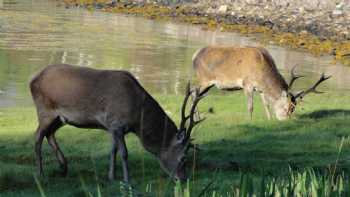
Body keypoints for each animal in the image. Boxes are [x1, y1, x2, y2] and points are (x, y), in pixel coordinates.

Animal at [29, 63, 211, 182]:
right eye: (183, 158)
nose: (184, 179)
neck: (138, 116)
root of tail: (32, 80)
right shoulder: (117, 124)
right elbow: (124, 153)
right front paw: (126, 179)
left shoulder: (112, 126)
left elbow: (113, 150)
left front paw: (111, 176)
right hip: (45, 110)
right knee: (38, 136)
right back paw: (40, 174)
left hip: (60, 118)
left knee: (49, 134)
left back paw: (63, 167)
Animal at [191, 46, 330, 120]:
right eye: (288, 107)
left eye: (293, 108)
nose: (286, 120)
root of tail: (194, 55)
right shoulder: (247, 84)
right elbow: (250, 106)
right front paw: (250, 121)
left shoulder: (261, 89)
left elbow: (266, 104)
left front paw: (269, 120)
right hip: (203, 79)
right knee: (193, 91)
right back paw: (196, 117)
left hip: (208, 83)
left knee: (196, 94)